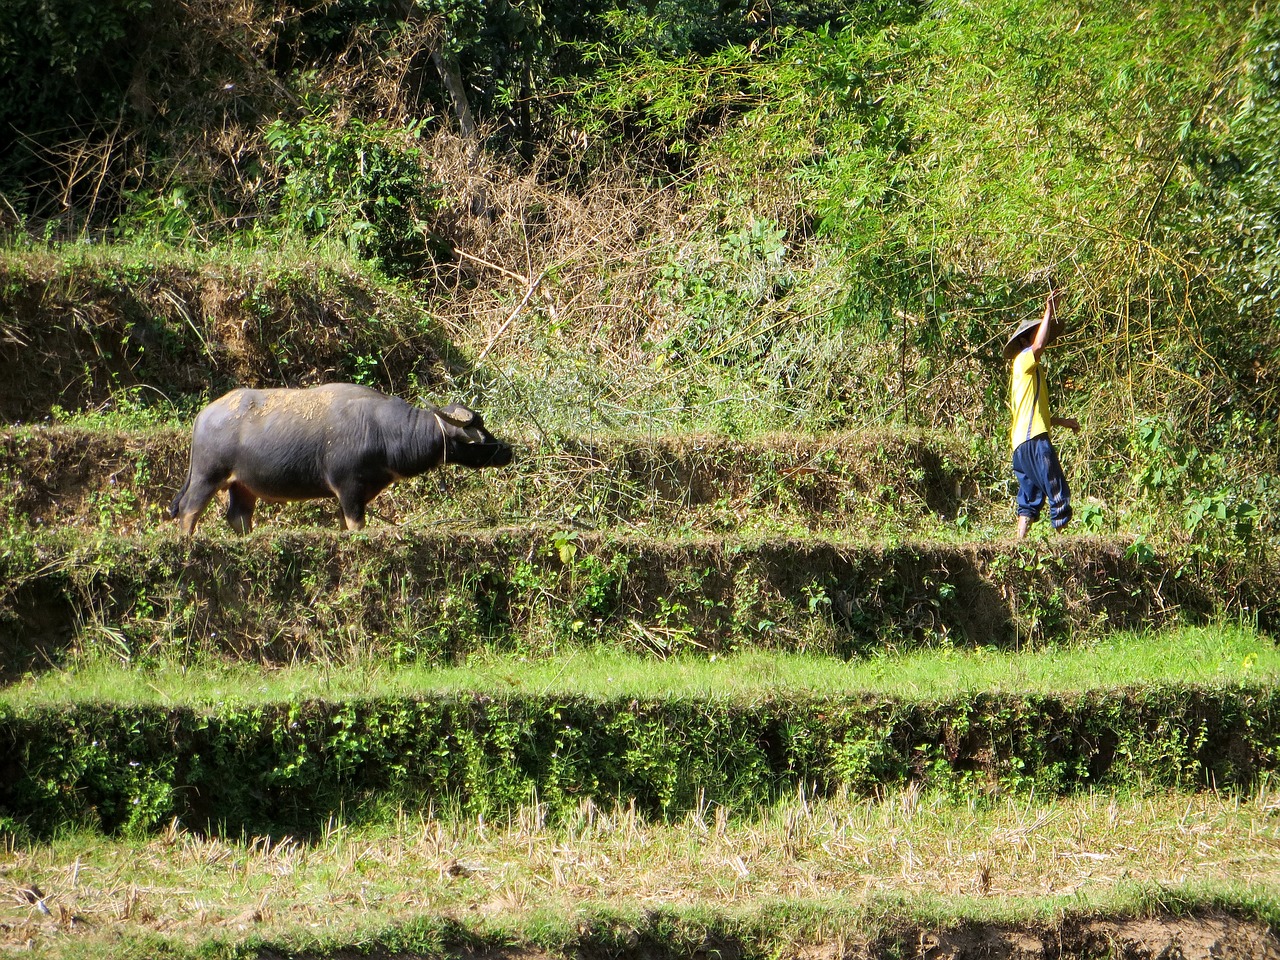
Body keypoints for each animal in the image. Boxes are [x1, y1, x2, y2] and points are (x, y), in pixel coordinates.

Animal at [167, 381, 512, 535]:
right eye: (480, 434)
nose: (507, 450)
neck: (382, 431)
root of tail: (204, 415)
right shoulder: (349, 488)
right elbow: (356, 524)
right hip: (207, 475)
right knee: (189, 509)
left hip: (242, 485)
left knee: (238, 517)